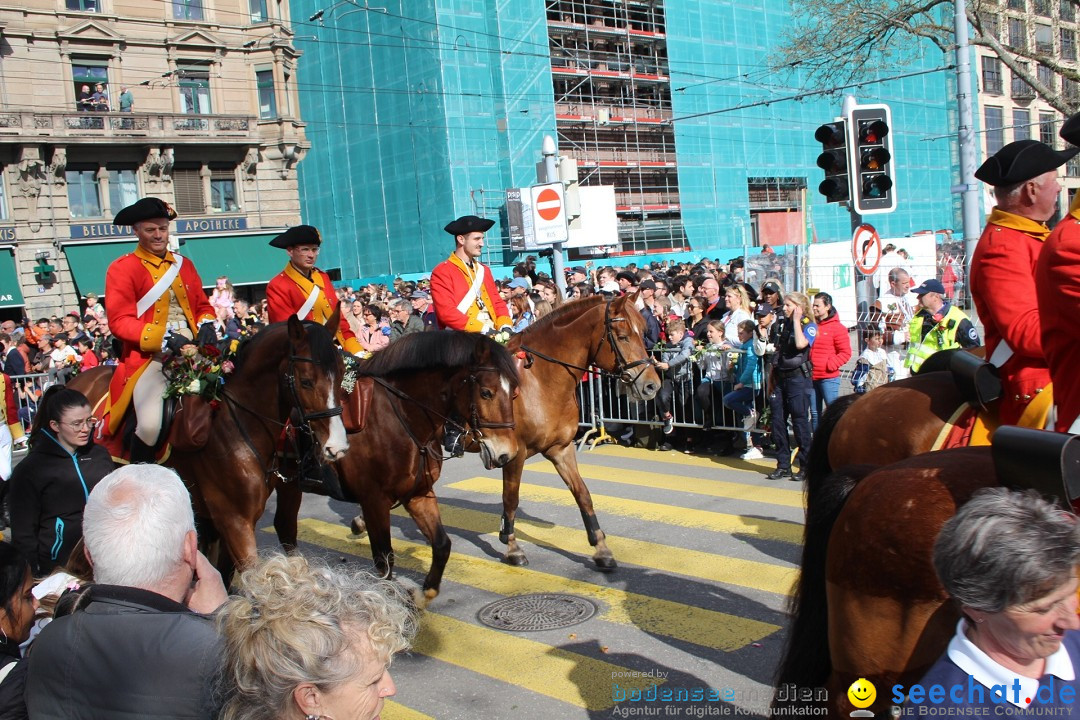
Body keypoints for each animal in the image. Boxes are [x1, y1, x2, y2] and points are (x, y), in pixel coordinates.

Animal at [274, 332, 518, 604]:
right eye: (486, 393)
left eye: (514, 393)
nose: (507, 454)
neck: (400, 418)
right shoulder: (374, 502)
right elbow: (384, 560)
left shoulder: (418, 494)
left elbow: (442, 545)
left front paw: (424, 593)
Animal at [488, 293, 656, 569]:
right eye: (622, 336)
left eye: (643, 332)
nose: (652, 385)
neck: (539, 381)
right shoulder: (514, 455)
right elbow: (511, 499)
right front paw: (512, 547)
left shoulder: (561, 450)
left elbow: (583, 494)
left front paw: (601, 548)